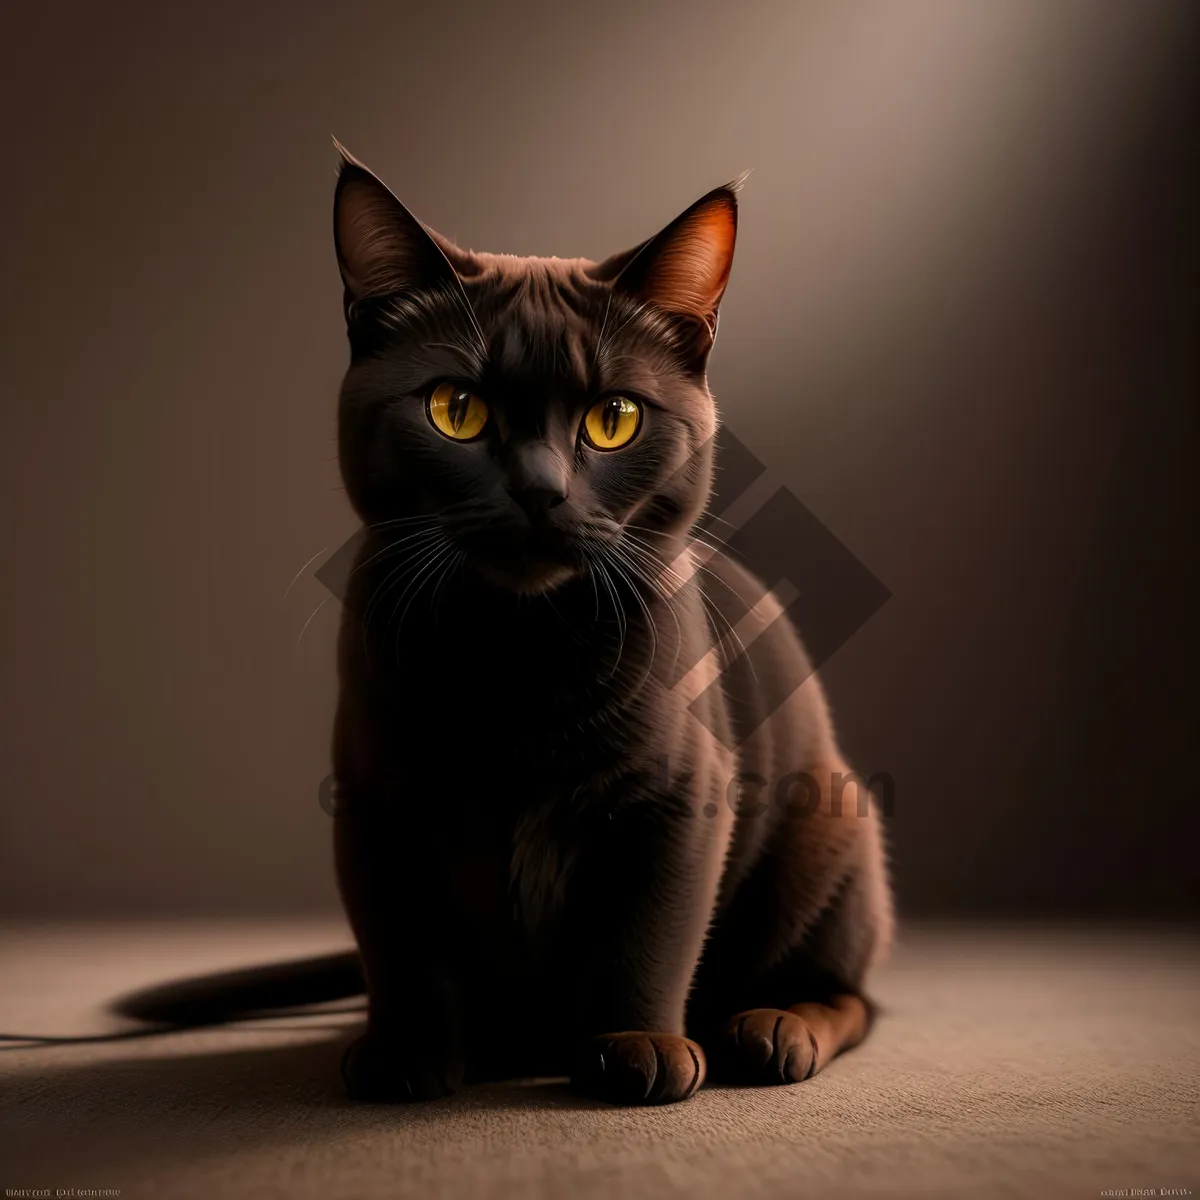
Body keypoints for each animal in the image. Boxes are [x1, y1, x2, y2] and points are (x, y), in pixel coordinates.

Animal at [114, 145, 892, 1108]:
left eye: (613, 419)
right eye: (457, 410)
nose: (539, 489)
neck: (517, 652)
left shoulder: (680, 796)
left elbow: (649, 932)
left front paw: (636, 1043)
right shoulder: (376, 799)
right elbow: (401, 942)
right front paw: (407, 1053)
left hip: (832, 821)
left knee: (851, 996)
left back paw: (772, 1028)